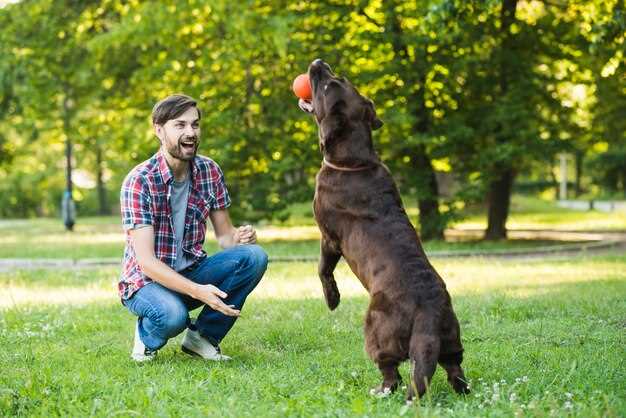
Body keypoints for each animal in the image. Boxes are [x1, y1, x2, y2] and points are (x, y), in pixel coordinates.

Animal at [298, 59, 468, 402]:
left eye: (328, 84)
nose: (319, 62)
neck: (354, 161)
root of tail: (428, 313)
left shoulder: (329, 238)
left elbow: (323, 269)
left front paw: (332, 300)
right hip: (451, 337)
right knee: (454, 367)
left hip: (377, 328)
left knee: (392, 373)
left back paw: (380, 390)